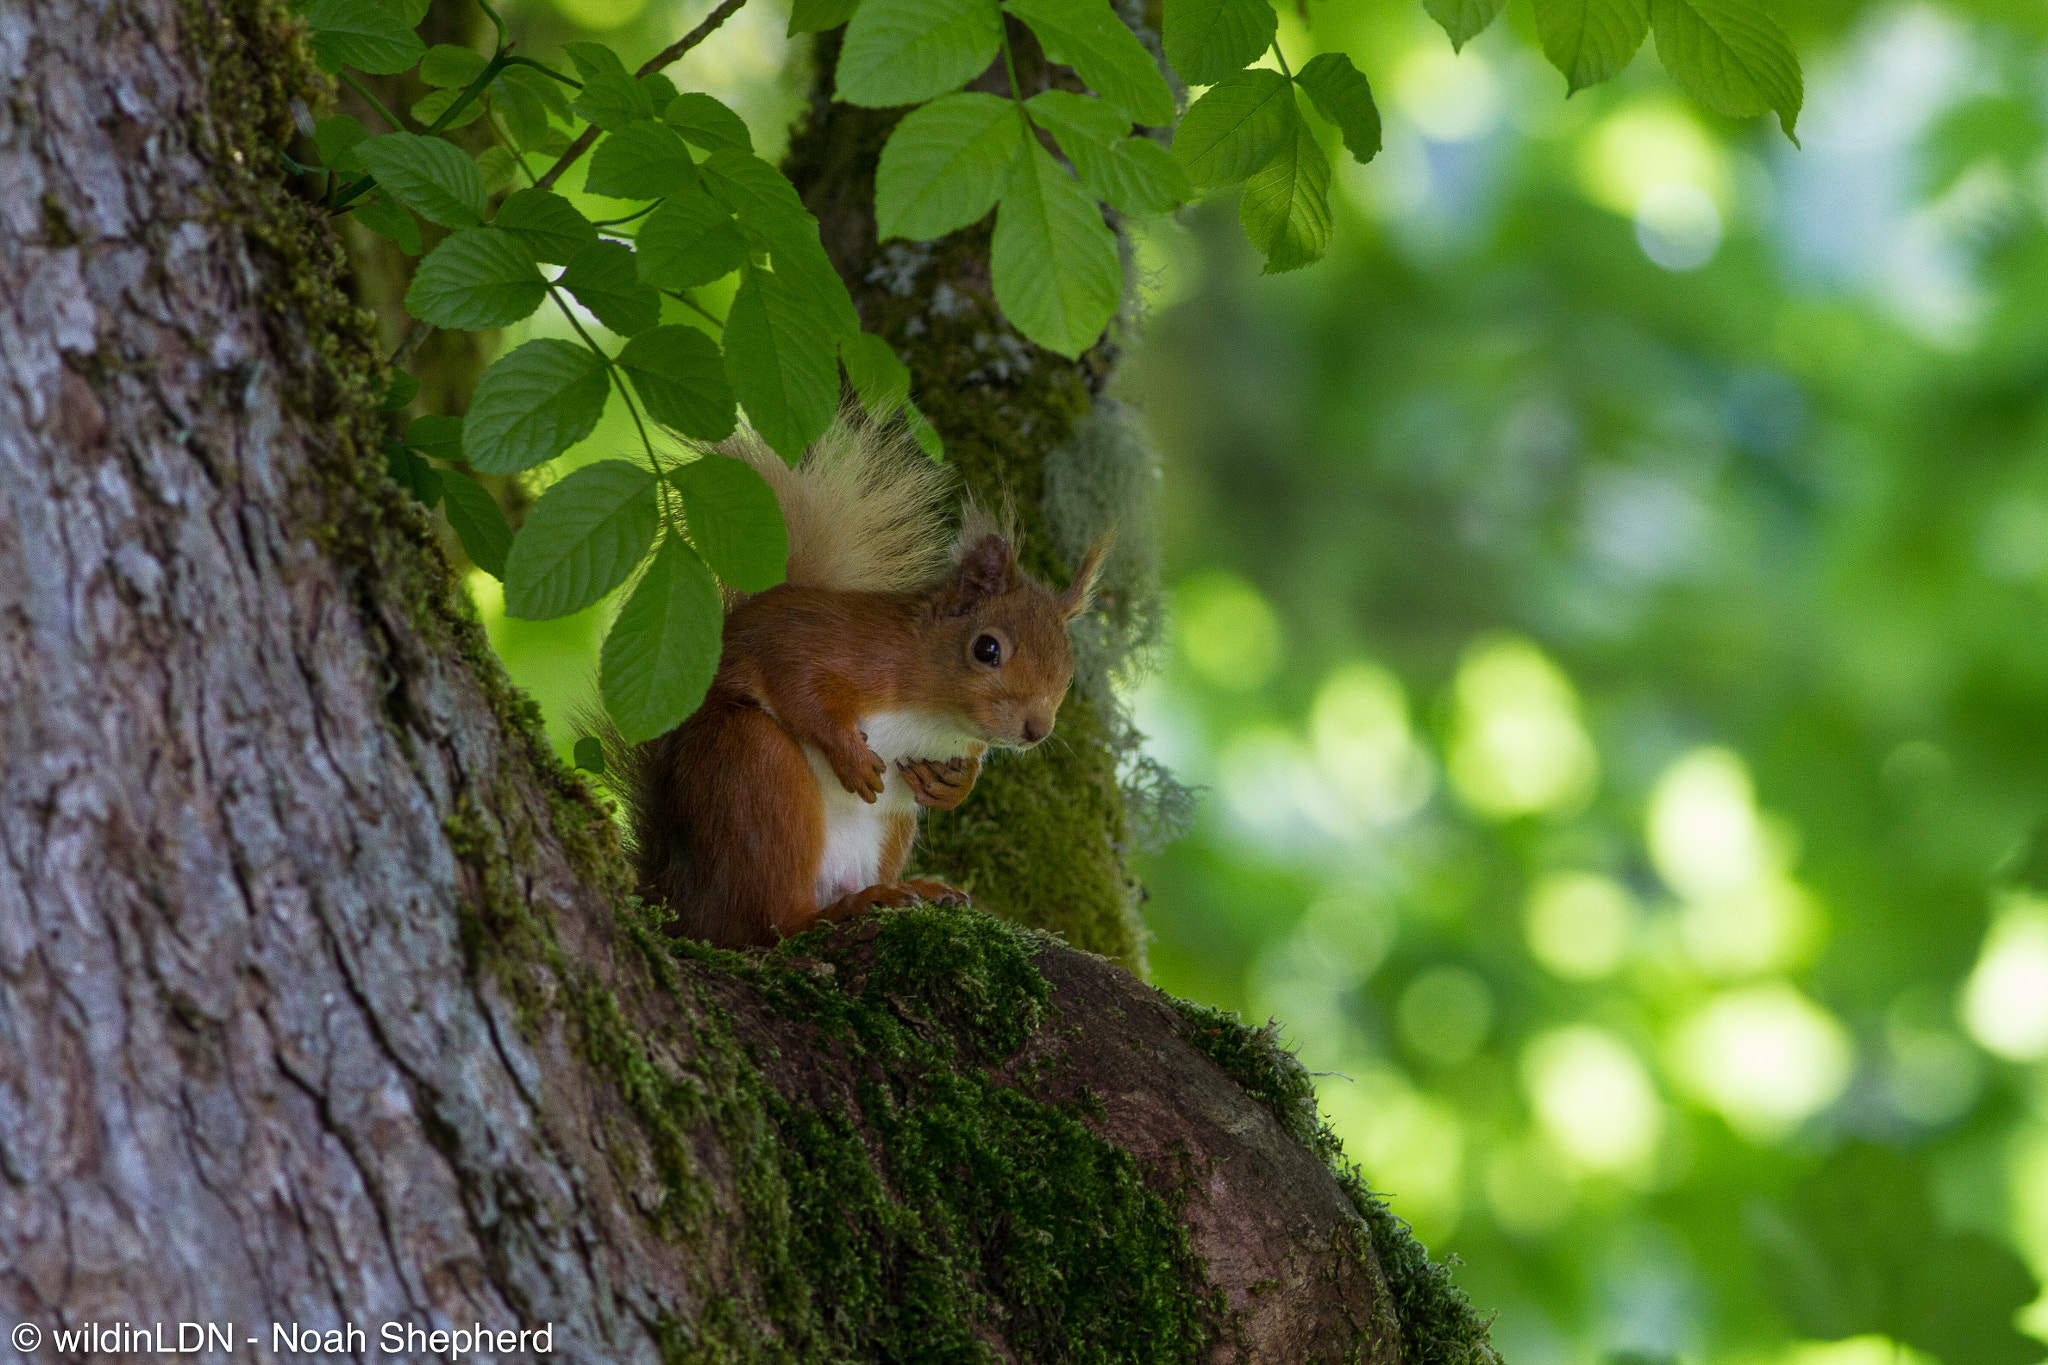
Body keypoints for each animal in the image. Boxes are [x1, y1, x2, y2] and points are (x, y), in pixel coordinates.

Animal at [610, 417, 1105, 949]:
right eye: (986, 649)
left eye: (1069, 671)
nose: (1036, 730)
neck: (935, 715)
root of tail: (682, 905)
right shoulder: (837, 646)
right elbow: (797, 683)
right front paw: (849, 756)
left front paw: (956, 784)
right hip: (753, 773)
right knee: (768, 924)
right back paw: (838, 910)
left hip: (892, 826)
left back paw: (907, 891)